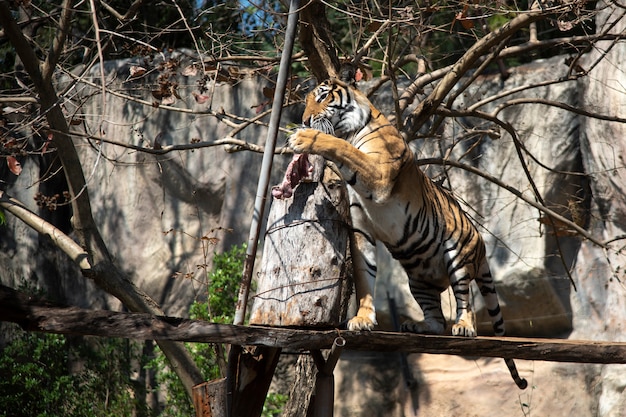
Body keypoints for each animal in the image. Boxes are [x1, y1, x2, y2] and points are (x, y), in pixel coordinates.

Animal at [288, 76, 528, 388]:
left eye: (322, 97)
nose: (304, 120)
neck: (353, 129)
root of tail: (481, 247)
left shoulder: (378, 175)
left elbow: (343, 148)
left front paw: (303, 138)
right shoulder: (362, 229)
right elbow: (364, 277)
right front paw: (363, 319)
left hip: (458, 256)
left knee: (465, 301)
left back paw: (463, 326)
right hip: (418, 279)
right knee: (437, 320)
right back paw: (417, 325)